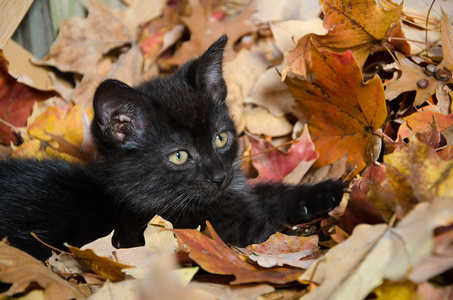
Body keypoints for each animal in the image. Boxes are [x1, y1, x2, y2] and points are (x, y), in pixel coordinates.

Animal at [0, 35, 346, 260]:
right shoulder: (217, 231)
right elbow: (269, 232)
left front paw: (326, 192)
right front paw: (311, 241)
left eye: (221, 138)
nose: (220, 176)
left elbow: (270, 194)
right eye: (179, 156)